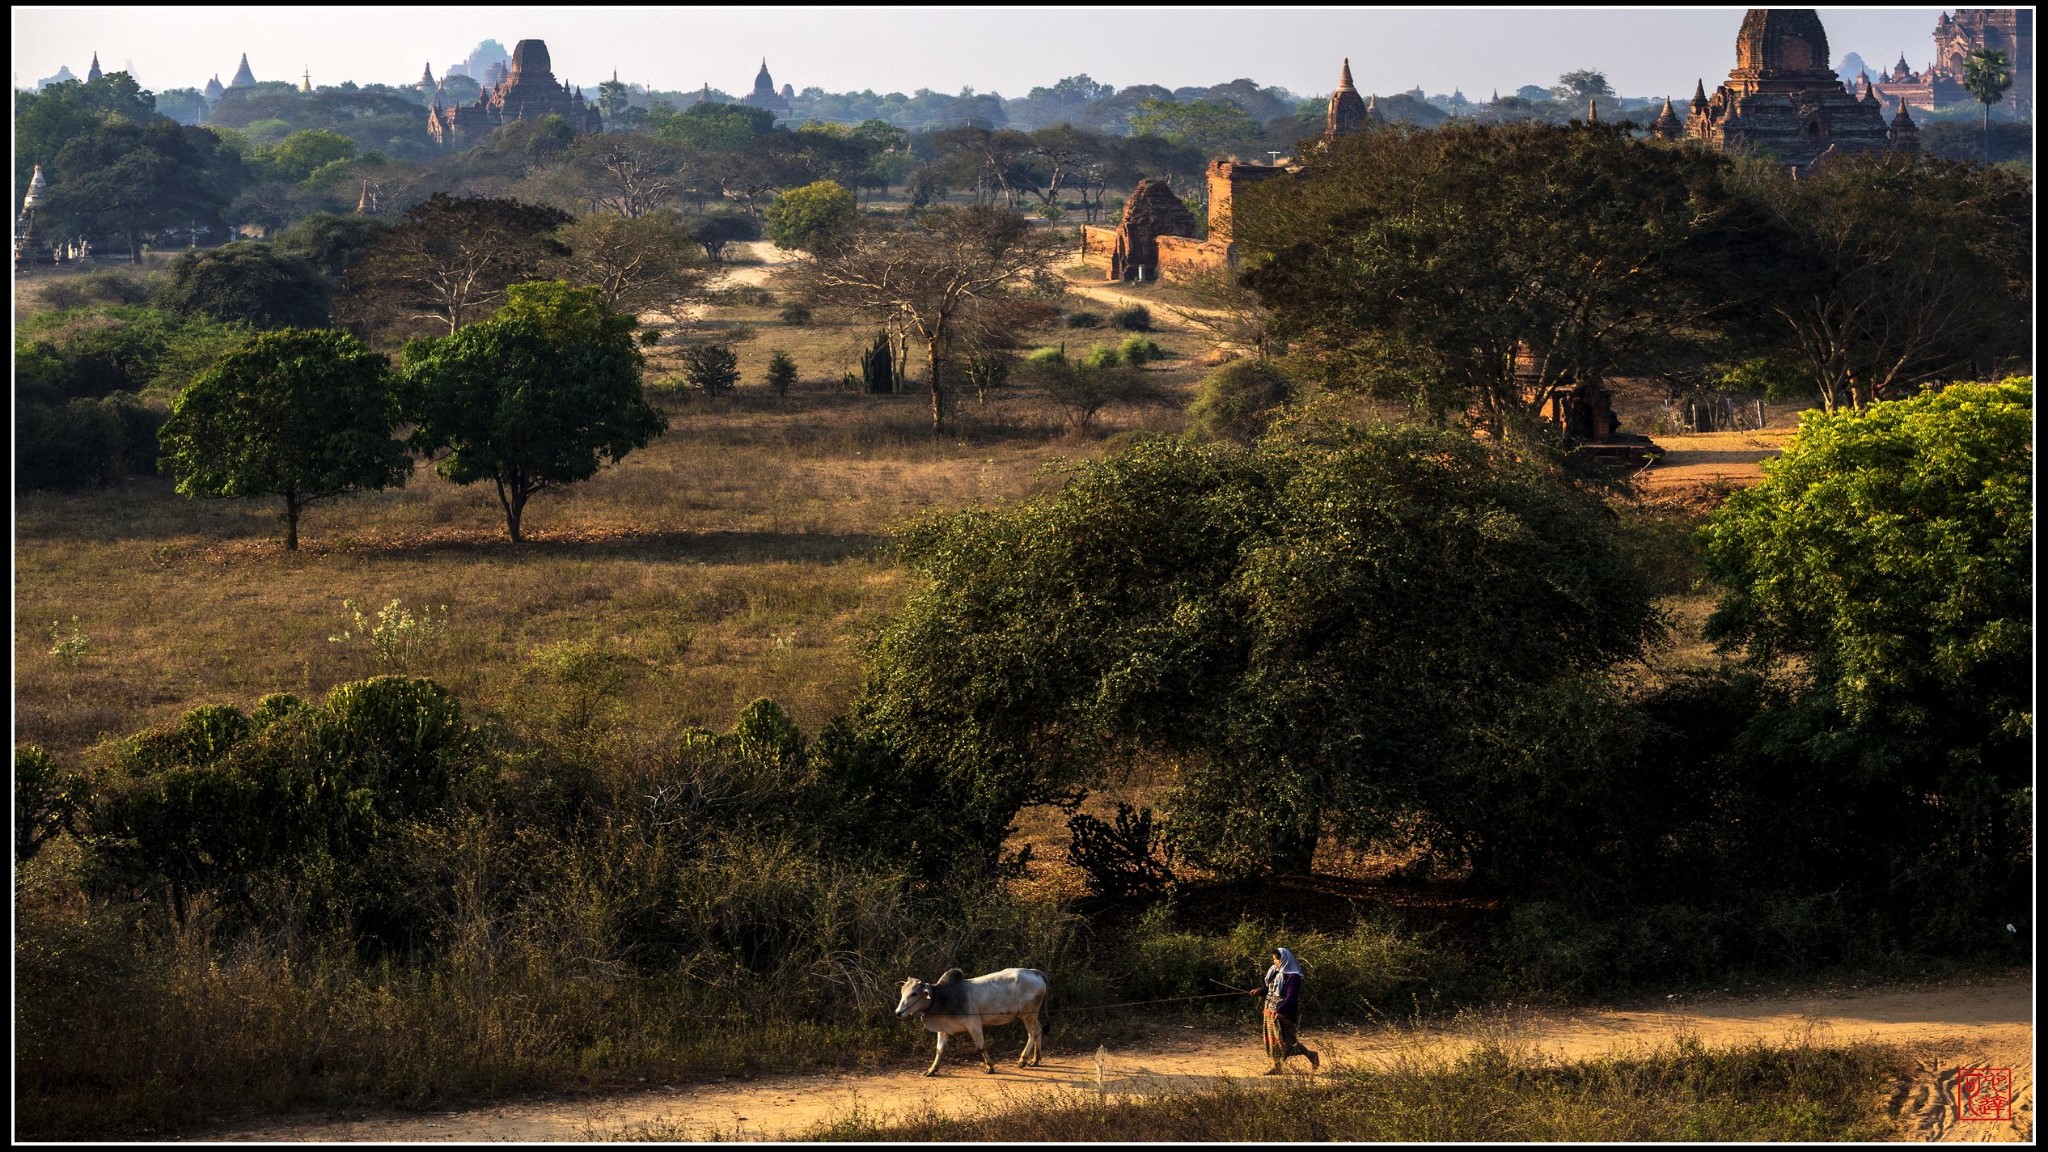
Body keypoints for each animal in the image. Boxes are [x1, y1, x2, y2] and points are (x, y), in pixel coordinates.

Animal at [892, 963, 1048, 1074]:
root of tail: (1033, 972)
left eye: (914, 993)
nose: (898, 1012)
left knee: (1033, 1033)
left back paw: (1023, 1060)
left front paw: (990, 1067)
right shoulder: (944, 1029)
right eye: (902, 992)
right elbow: (939, 1049)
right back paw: (1035, 1059)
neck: (941, 997)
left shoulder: (974, 1025)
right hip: (1031, 1015)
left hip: (1028, 1014)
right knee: (1039, 1030)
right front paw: (932, 1069)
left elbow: (980, 1046)